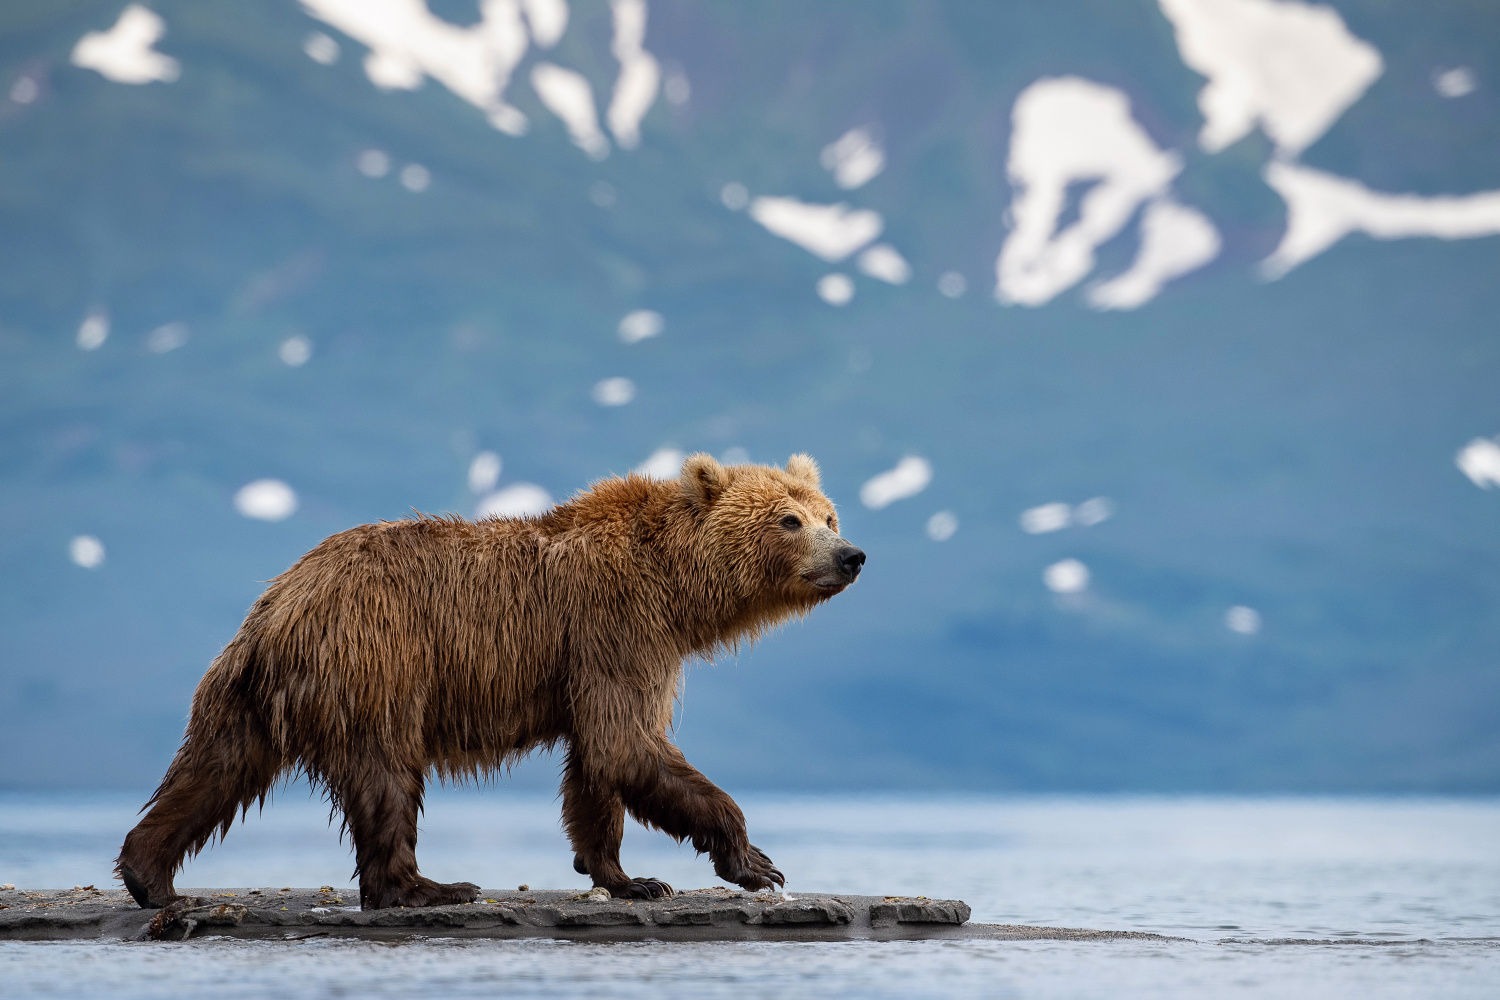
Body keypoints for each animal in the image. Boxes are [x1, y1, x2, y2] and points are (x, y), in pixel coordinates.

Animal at [114, 458, 870, 911]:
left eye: (830, 514)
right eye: (789, 520)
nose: (851, 555)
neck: (675, 586)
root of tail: (278, 604)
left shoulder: (597, 655)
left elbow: (597, 766)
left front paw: (626, 876)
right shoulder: (616, 627)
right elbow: (627, 743)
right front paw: (755, 861)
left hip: (245, 691)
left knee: (215, 768)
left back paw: (150, 876)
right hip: (378, 660)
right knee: (386, 774)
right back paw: (427, 885)